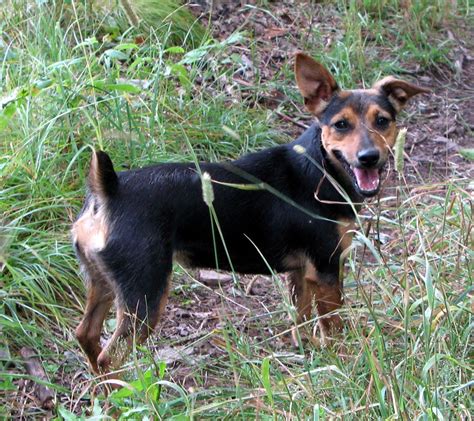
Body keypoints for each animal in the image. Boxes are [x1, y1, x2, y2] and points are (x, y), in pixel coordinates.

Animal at [71, 54, 430, 372]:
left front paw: (312, 358)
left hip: (103, 282)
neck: (320, 168)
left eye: (382, 120)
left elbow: (301, 322)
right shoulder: (326, 269)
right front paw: (345, 362)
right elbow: (334, 327)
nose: (369, 157)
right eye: (341, 125)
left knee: (86, 335)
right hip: (145, 292)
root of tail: (109, 190)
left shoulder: (301, 273)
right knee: (109, 356)